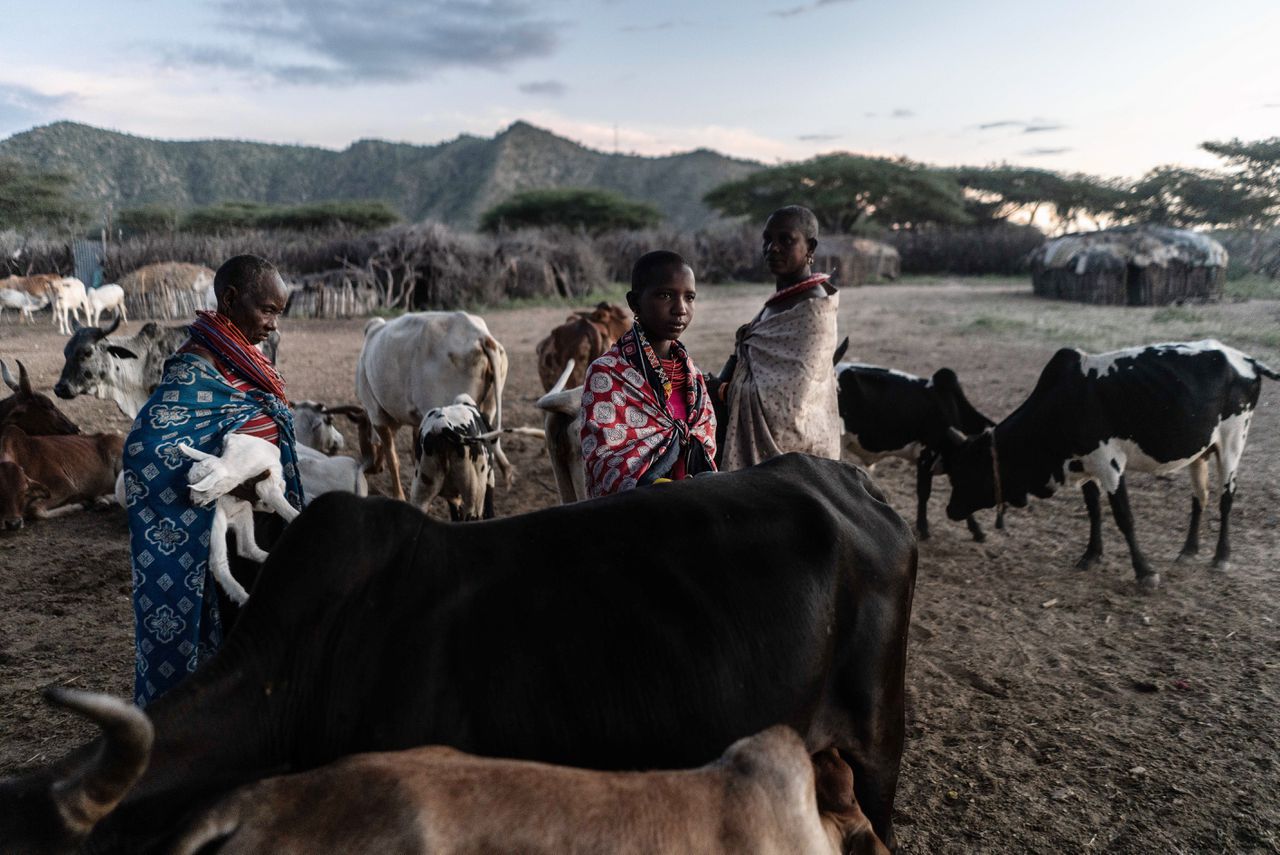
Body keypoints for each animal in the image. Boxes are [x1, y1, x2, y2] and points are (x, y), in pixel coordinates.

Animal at [355, 313, 509, 501]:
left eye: (362, 431)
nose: (372, 467)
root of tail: (482, 337)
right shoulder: (418, 418)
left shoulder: (376, 413)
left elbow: (392, 457)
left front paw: (399, 495)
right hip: (486, 411)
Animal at [936, 337, 1274, 588]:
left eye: (965, 472)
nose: (950, 510)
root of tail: (1245, 358)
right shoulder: (1084, 466)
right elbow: (1094, 511)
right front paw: (1091, 555)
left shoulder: (1109, 464)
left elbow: (1124, 517)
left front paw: (1145, 572)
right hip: (1200, 450)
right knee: (1199, 497)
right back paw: (1189, 550)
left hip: (1232, 442)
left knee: (1226, 498)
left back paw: (1221, 556)